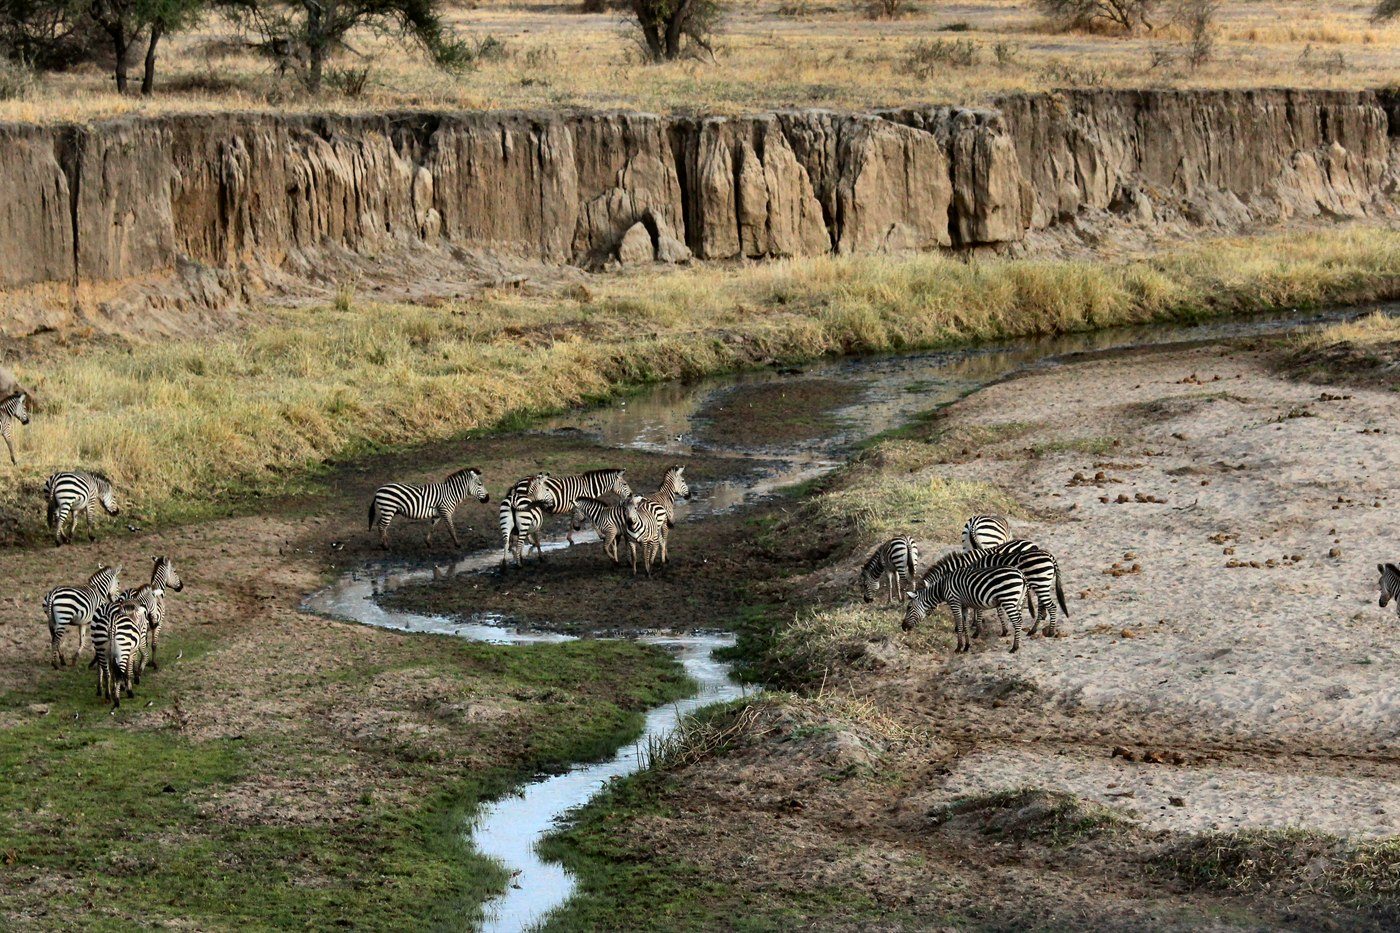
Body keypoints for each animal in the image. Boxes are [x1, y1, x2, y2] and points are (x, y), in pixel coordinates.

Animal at [920, 540, 1069, 637]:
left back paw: (1047, 631)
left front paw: (974, 626)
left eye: (922, 599)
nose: (925, 619)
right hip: (1042, 583)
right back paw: (1036, 626)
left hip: (1040, 582)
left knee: (1050, 605)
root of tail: (1049, 555)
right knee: (1042, 603)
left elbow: (976, 608)